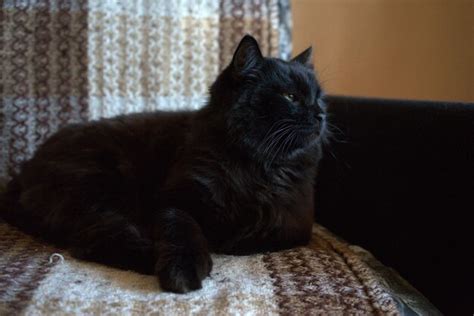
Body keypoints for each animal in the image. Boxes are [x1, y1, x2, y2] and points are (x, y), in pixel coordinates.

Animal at [0, 35, 326, 294]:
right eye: (290, 96)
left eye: (319, 98)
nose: (321, 113)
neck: (256, 164)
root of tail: (25, 169)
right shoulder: (175, 201)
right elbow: (183, 230)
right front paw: (183, 271)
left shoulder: (294, 223)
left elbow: (260, 233)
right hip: (98, 187)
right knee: (92, 239)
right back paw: (152, 257)